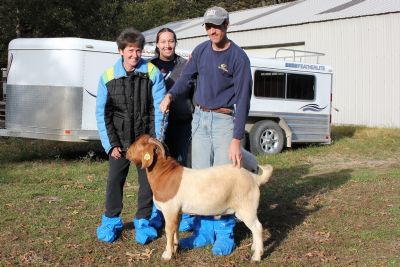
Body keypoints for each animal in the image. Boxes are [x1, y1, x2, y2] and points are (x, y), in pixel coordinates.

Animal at [126, 134, 274, 262]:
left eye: (139, 144)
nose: (126, 152)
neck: (164, 174)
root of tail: (254, 178)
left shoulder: (170, 209)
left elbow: (169, 230)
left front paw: (167, 254)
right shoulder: (177, 212)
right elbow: (175, 228)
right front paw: (175, 247)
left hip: (246, 208)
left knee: (257, 227)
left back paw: (257, 256)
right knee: (255, 228)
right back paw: (254, 247)